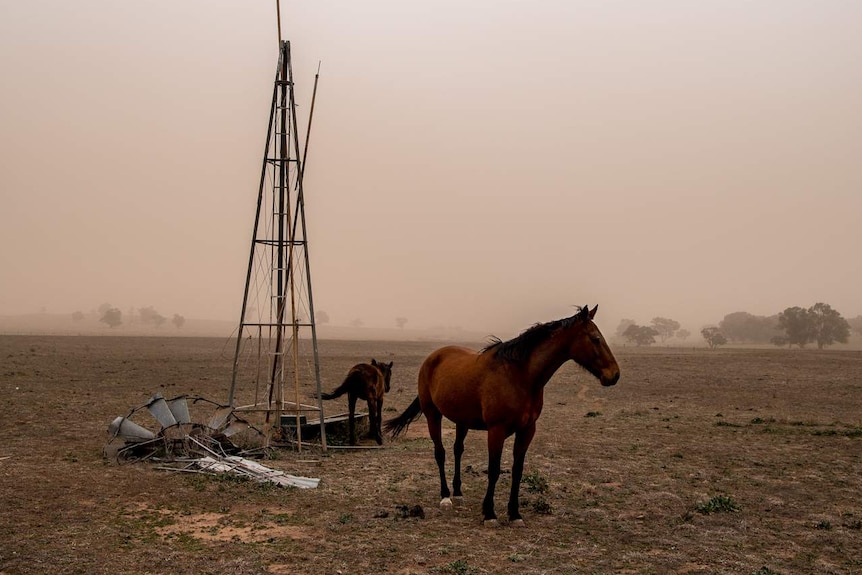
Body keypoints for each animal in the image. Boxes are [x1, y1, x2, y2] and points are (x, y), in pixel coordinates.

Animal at [386, 306, 620, 528]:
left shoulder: (527, 430)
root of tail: (433, 357)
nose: (615, 375)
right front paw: (489, 514)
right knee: (440, 453)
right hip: (432, 415)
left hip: (462, 421)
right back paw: (445, 497)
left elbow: (517, 471)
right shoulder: (496, 430)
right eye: (595, 338)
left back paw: (458, 493)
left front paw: (514, 513)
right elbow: (494, 470)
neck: (520, 376)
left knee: (457, 450)